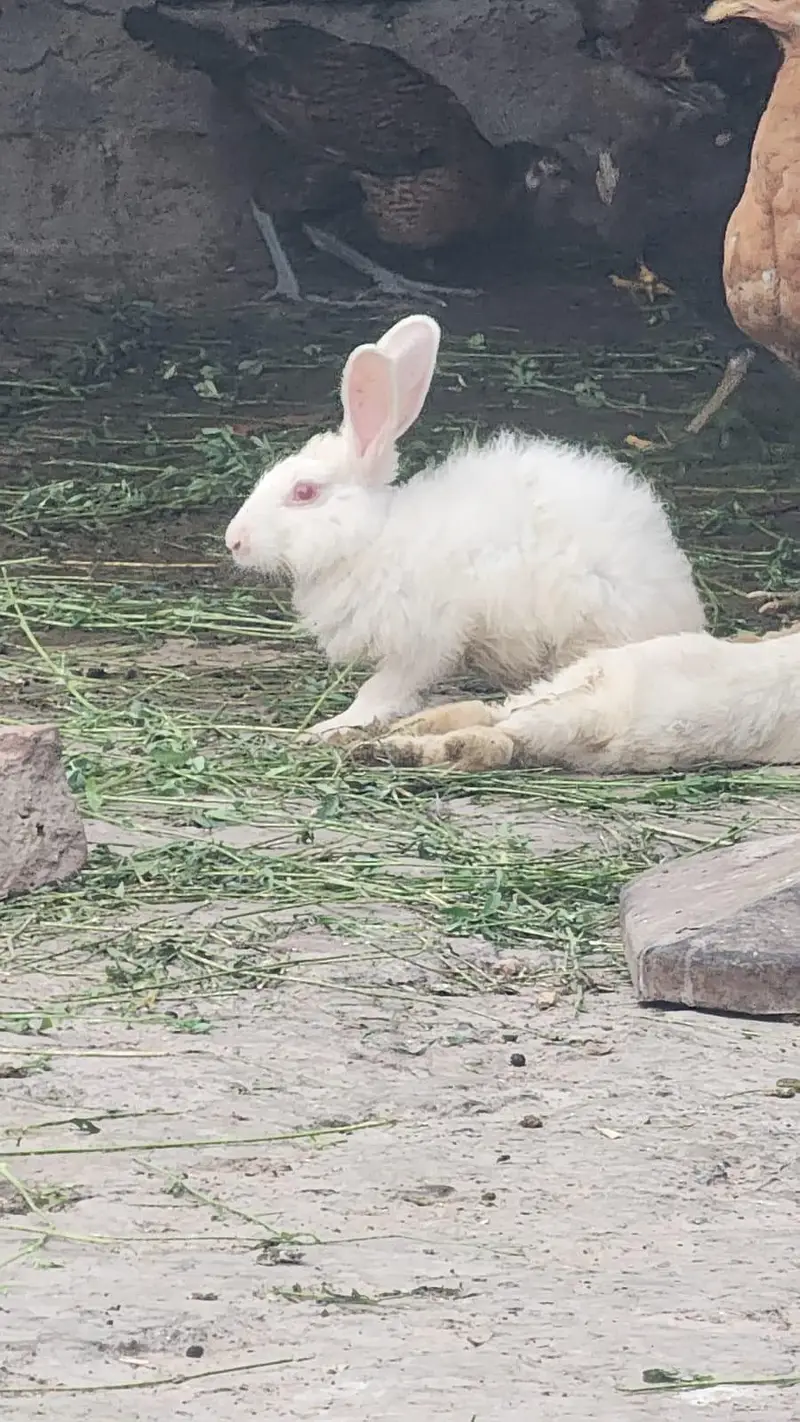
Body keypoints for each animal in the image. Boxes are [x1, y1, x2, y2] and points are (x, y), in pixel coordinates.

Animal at [224, 313, 705, 739]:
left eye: (304, 492)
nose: (234, 541)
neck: (370, 540)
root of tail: (681, 600)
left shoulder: (425, 636)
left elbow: (385, 686)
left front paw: (336, 723)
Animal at [366, 623, 800, 773]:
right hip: (592, 712)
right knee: (503, 733)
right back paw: (387, 748)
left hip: (572, 703)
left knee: (496, 720)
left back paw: (379, 741)